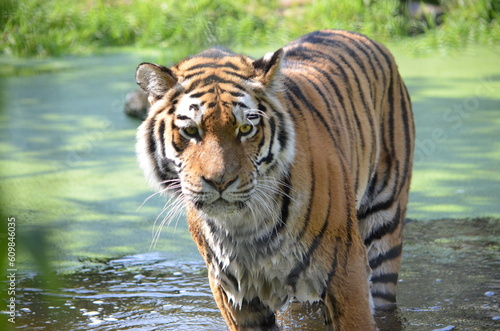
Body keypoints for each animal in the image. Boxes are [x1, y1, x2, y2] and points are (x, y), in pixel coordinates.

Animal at [136, 29, 414, 330]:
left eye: (245, 128)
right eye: (190, 130)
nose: (220, 181)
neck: (245, 227)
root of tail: (352, 32)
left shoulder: (345, 268)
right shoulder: (233, 291)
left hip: (384, 227)